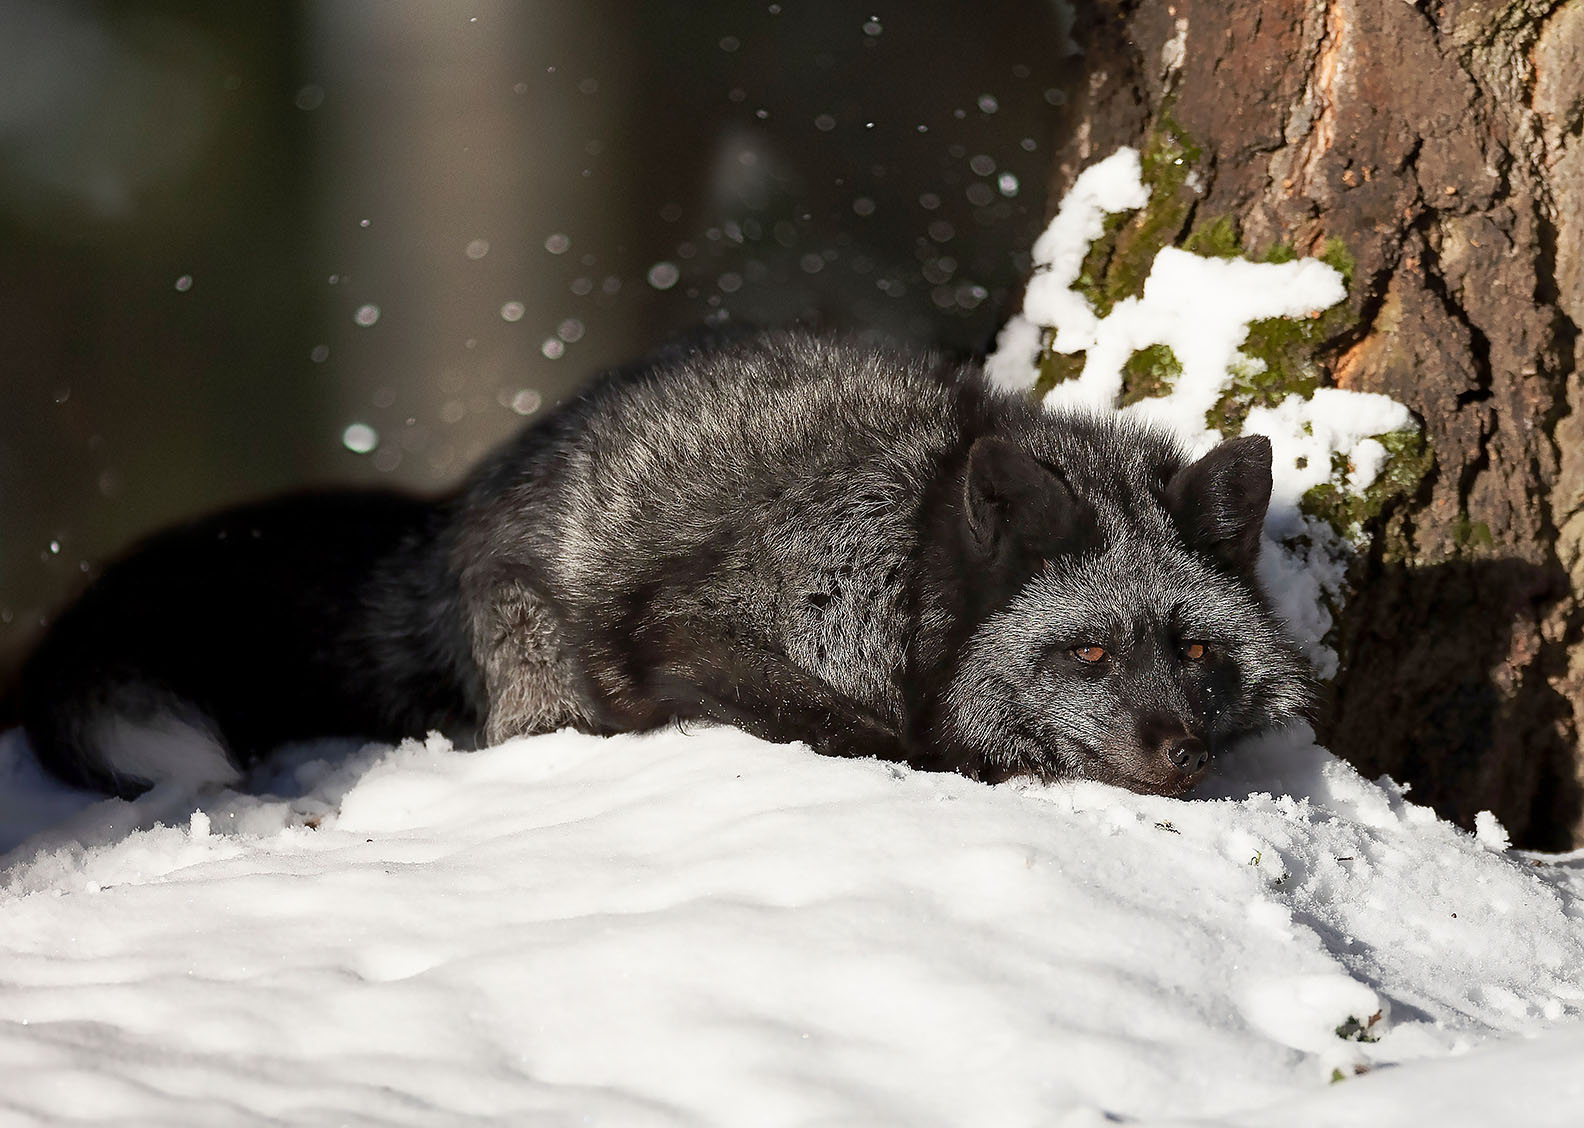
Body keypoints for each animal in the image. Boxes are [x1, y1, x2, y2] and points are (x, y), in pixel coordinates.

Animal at [21, 331, 1311, 798]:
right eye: (1085, 651)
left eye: (1197, 651)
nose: (1183, 752)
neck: (912, 550)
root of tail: (452, 510)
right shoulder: (689, 626)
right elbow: (854, 729)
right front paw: (951, 761)